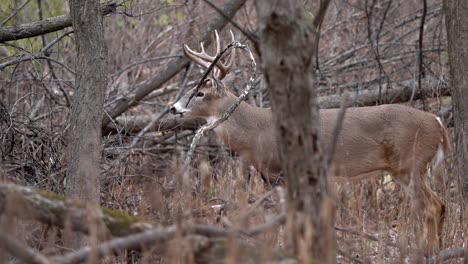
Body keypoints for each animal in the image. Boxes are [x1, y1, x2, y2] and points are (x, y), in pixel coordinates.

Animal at [169, 31, 450, 256]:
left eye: (200, 93)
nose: (173, 107)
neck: (256, 133)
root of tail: (437, 122)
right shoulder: (274, 177)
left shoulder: (280, 171)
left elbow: (287, 218)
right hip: (404, 170)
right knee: (437, 205)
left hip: (410, 164)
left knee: (434, 206)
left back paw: (430, 251)